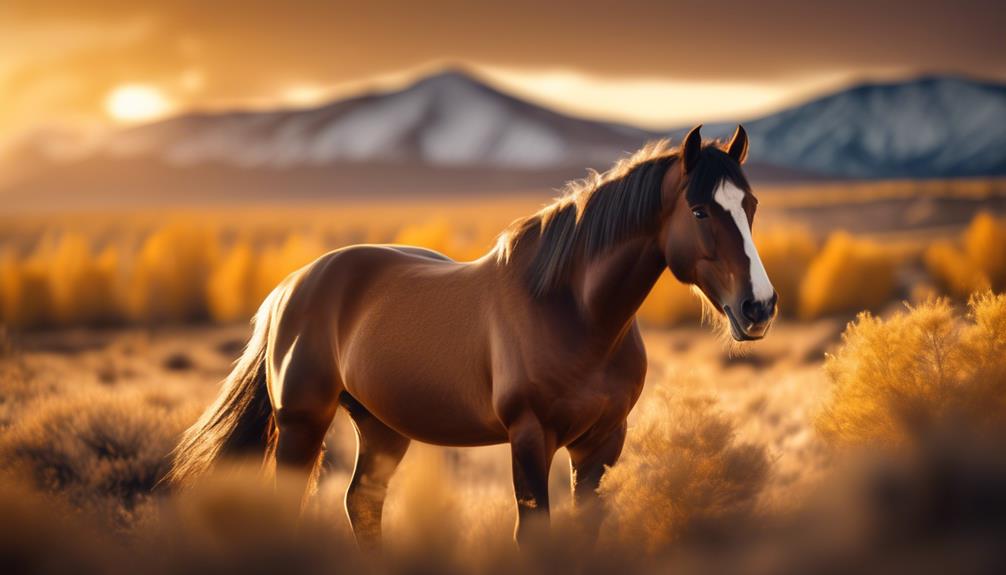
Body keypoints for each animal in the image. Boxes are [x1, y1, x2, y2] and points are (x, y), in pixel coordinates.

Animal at [164, 124, 776, 546]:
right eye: (699, 210)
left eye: (749, 204)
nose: (759, 307)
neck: (571, 312)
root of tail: (293, 285)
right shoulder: (530, 437)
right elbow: (533, 536)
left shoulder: (602, 445)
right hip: (302, 424)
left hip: (382, 429)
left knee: (362, 504)